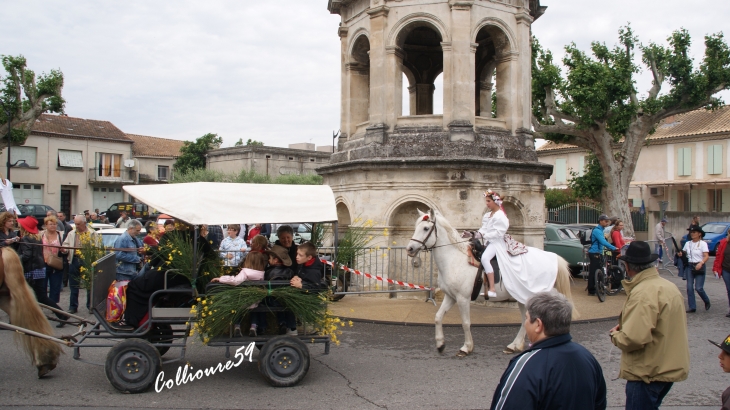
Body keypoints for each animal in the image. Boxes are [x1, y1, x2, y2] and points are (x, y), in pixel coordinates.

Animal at [404, 210, 576, 358]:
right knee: (524, 320)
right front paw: (440, 344)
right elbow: (438, 317)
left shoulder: (463, 299)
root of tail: (552, 257)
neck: (455, 259)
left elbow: (465, 323)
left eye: (426, 228)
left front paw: (466, 347)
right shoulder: (450, 296)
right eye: (416, 227)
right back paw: (514, 345)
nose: (410, 249)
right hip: (522, 297)